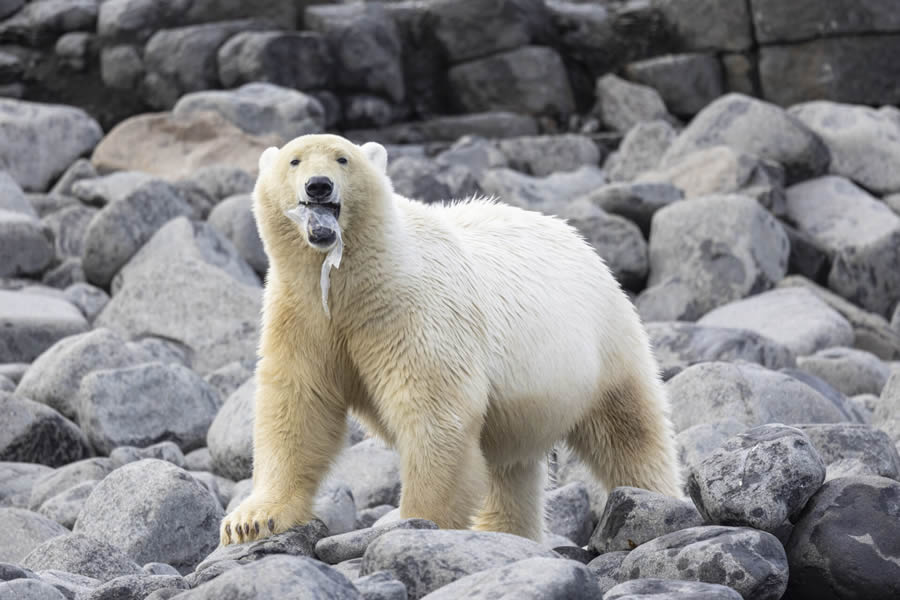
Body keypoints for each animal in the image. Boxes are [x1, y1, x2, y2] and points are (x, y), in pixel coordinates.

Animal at [221, 135, 680, 544]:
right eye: (295, 161)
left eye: (342, 158)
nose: (319, 185)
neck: (353, 280)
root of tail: (578, 239)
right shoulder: (303, 314)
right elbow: (298, 405)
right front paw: (250, 521)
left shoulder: (412, 310)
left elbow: (435, 410)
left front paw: (418, 521)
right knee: (510, 465)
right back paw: (502, 532)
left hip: (602, 340)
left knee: (629, 431)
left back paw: (656, 500)